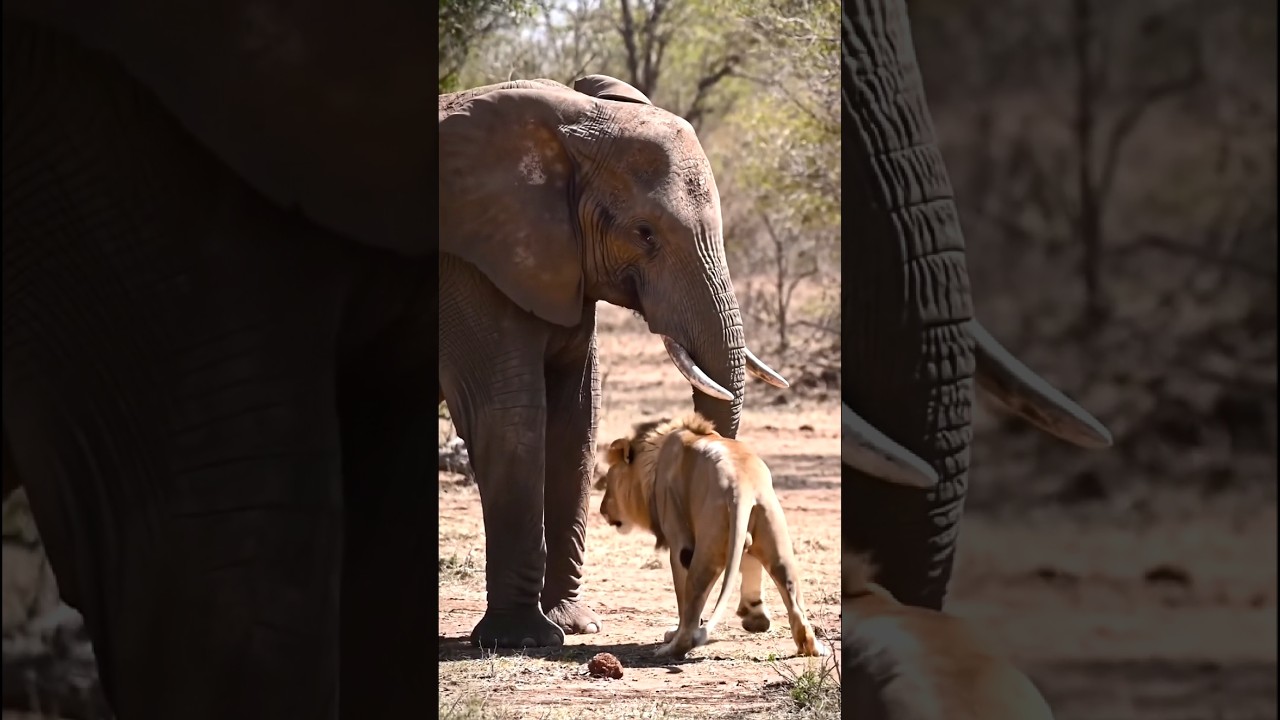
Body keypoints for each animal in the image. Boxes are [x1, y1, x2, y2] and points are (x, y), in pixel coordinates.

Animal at [594, 413, 826, 659]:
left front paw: (673, 632)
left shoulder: (679, 538)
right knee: (793, 597)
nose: (602, 510)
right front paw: (755, 616)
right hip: (776, 540)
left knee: (690, 615)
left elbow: (682, 598)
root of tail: (741, 487)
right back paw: (812, 647)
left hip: (704, 551)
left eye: (608, 483)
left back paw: (670, 648)